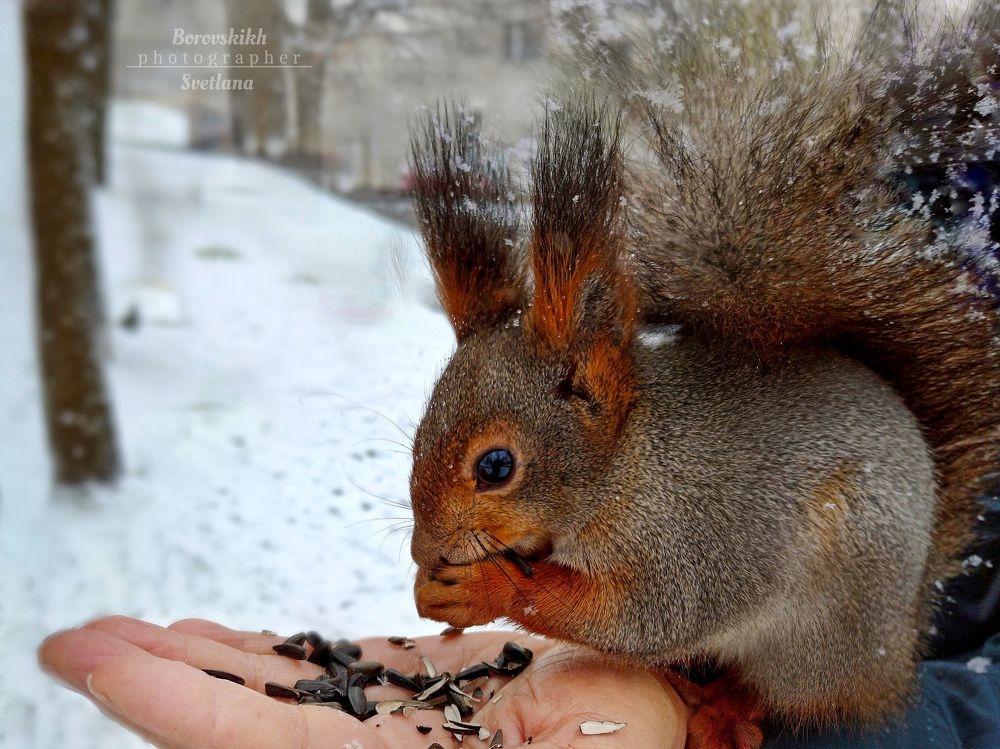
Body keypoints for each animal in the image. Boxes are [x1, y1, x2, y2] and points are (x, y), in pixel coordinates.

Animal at [406, 3, 999, 747]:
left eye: (495, 466)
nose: (423, 551)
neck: (625, 464)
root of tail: (897, 651)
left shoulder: (693, 539)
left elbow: (642, 616)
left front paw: (482, 588)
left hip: (820, 630)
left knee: (783, 693)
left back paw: (726, 711)